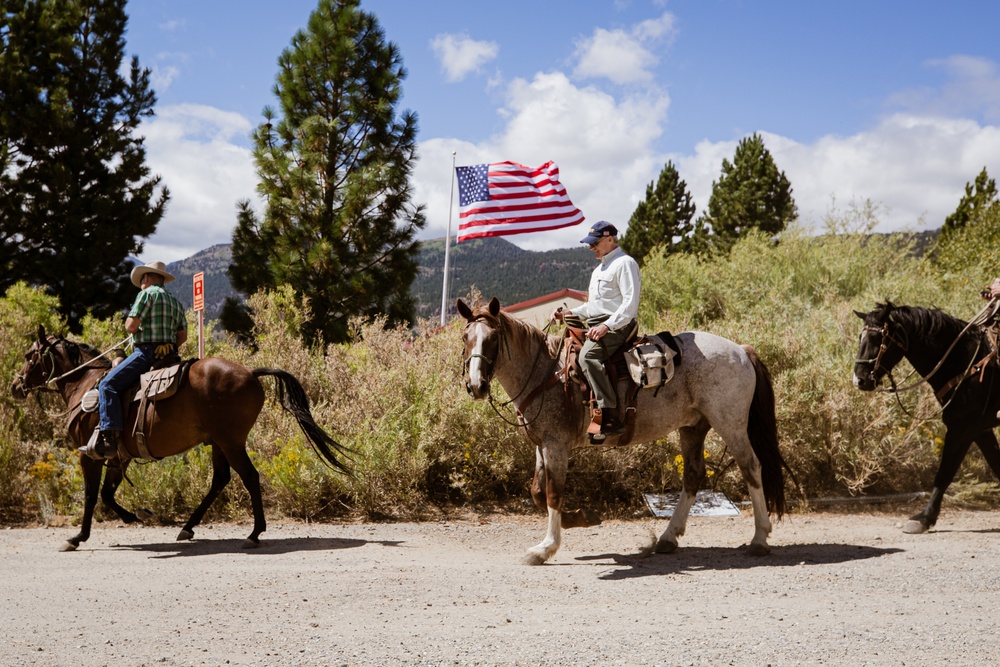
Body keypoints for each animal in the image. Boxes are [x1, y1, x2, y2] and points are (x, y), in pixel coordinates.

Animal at [8, 326, 348, 552]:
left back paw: (254, 534)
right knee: (220, 480)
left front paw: (78, 537)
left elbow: (92, 495)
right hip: (218, 443)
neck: (86, 384)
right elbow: (106, 494)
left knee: (249, 477)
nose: (15, 386)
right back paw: (187, 527)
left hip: (231, 441)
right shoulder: (118, 456)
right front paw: (137, 516)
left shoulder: (88, 454)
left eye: (29, 355)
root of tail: (252, 372)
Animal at [456, 300, 788, 568]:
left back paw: (759, 539)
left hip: (730, 424)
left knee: (751, 468)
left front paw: (545, 548)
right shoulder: (541, 444)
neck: (546, 372)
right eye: (465, 337)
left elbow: (552, 494)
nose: (476, 386)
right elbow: (538, 492)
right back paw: (668, 537)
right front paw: (582, 517)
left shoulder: (556, 445)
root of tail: (741, 350)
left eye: (493, 338)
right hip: (693, 427)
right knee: (693, 475)